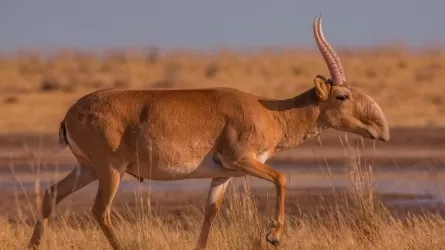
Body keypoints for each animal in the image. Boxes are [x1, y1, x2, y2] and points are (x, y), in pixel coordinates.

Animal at [27, 16, 388, 250]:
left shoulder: (222, 175)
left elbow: (210, 213)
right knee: (99, 210)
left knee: (50, 195)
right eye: (342, 96)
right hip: (110, 171)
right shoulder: (243, 160)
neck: (268, 111)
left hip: (87, 169)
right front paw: (273, 235)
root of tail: (70, 114)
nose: (380, 131)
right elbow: (282, 178)